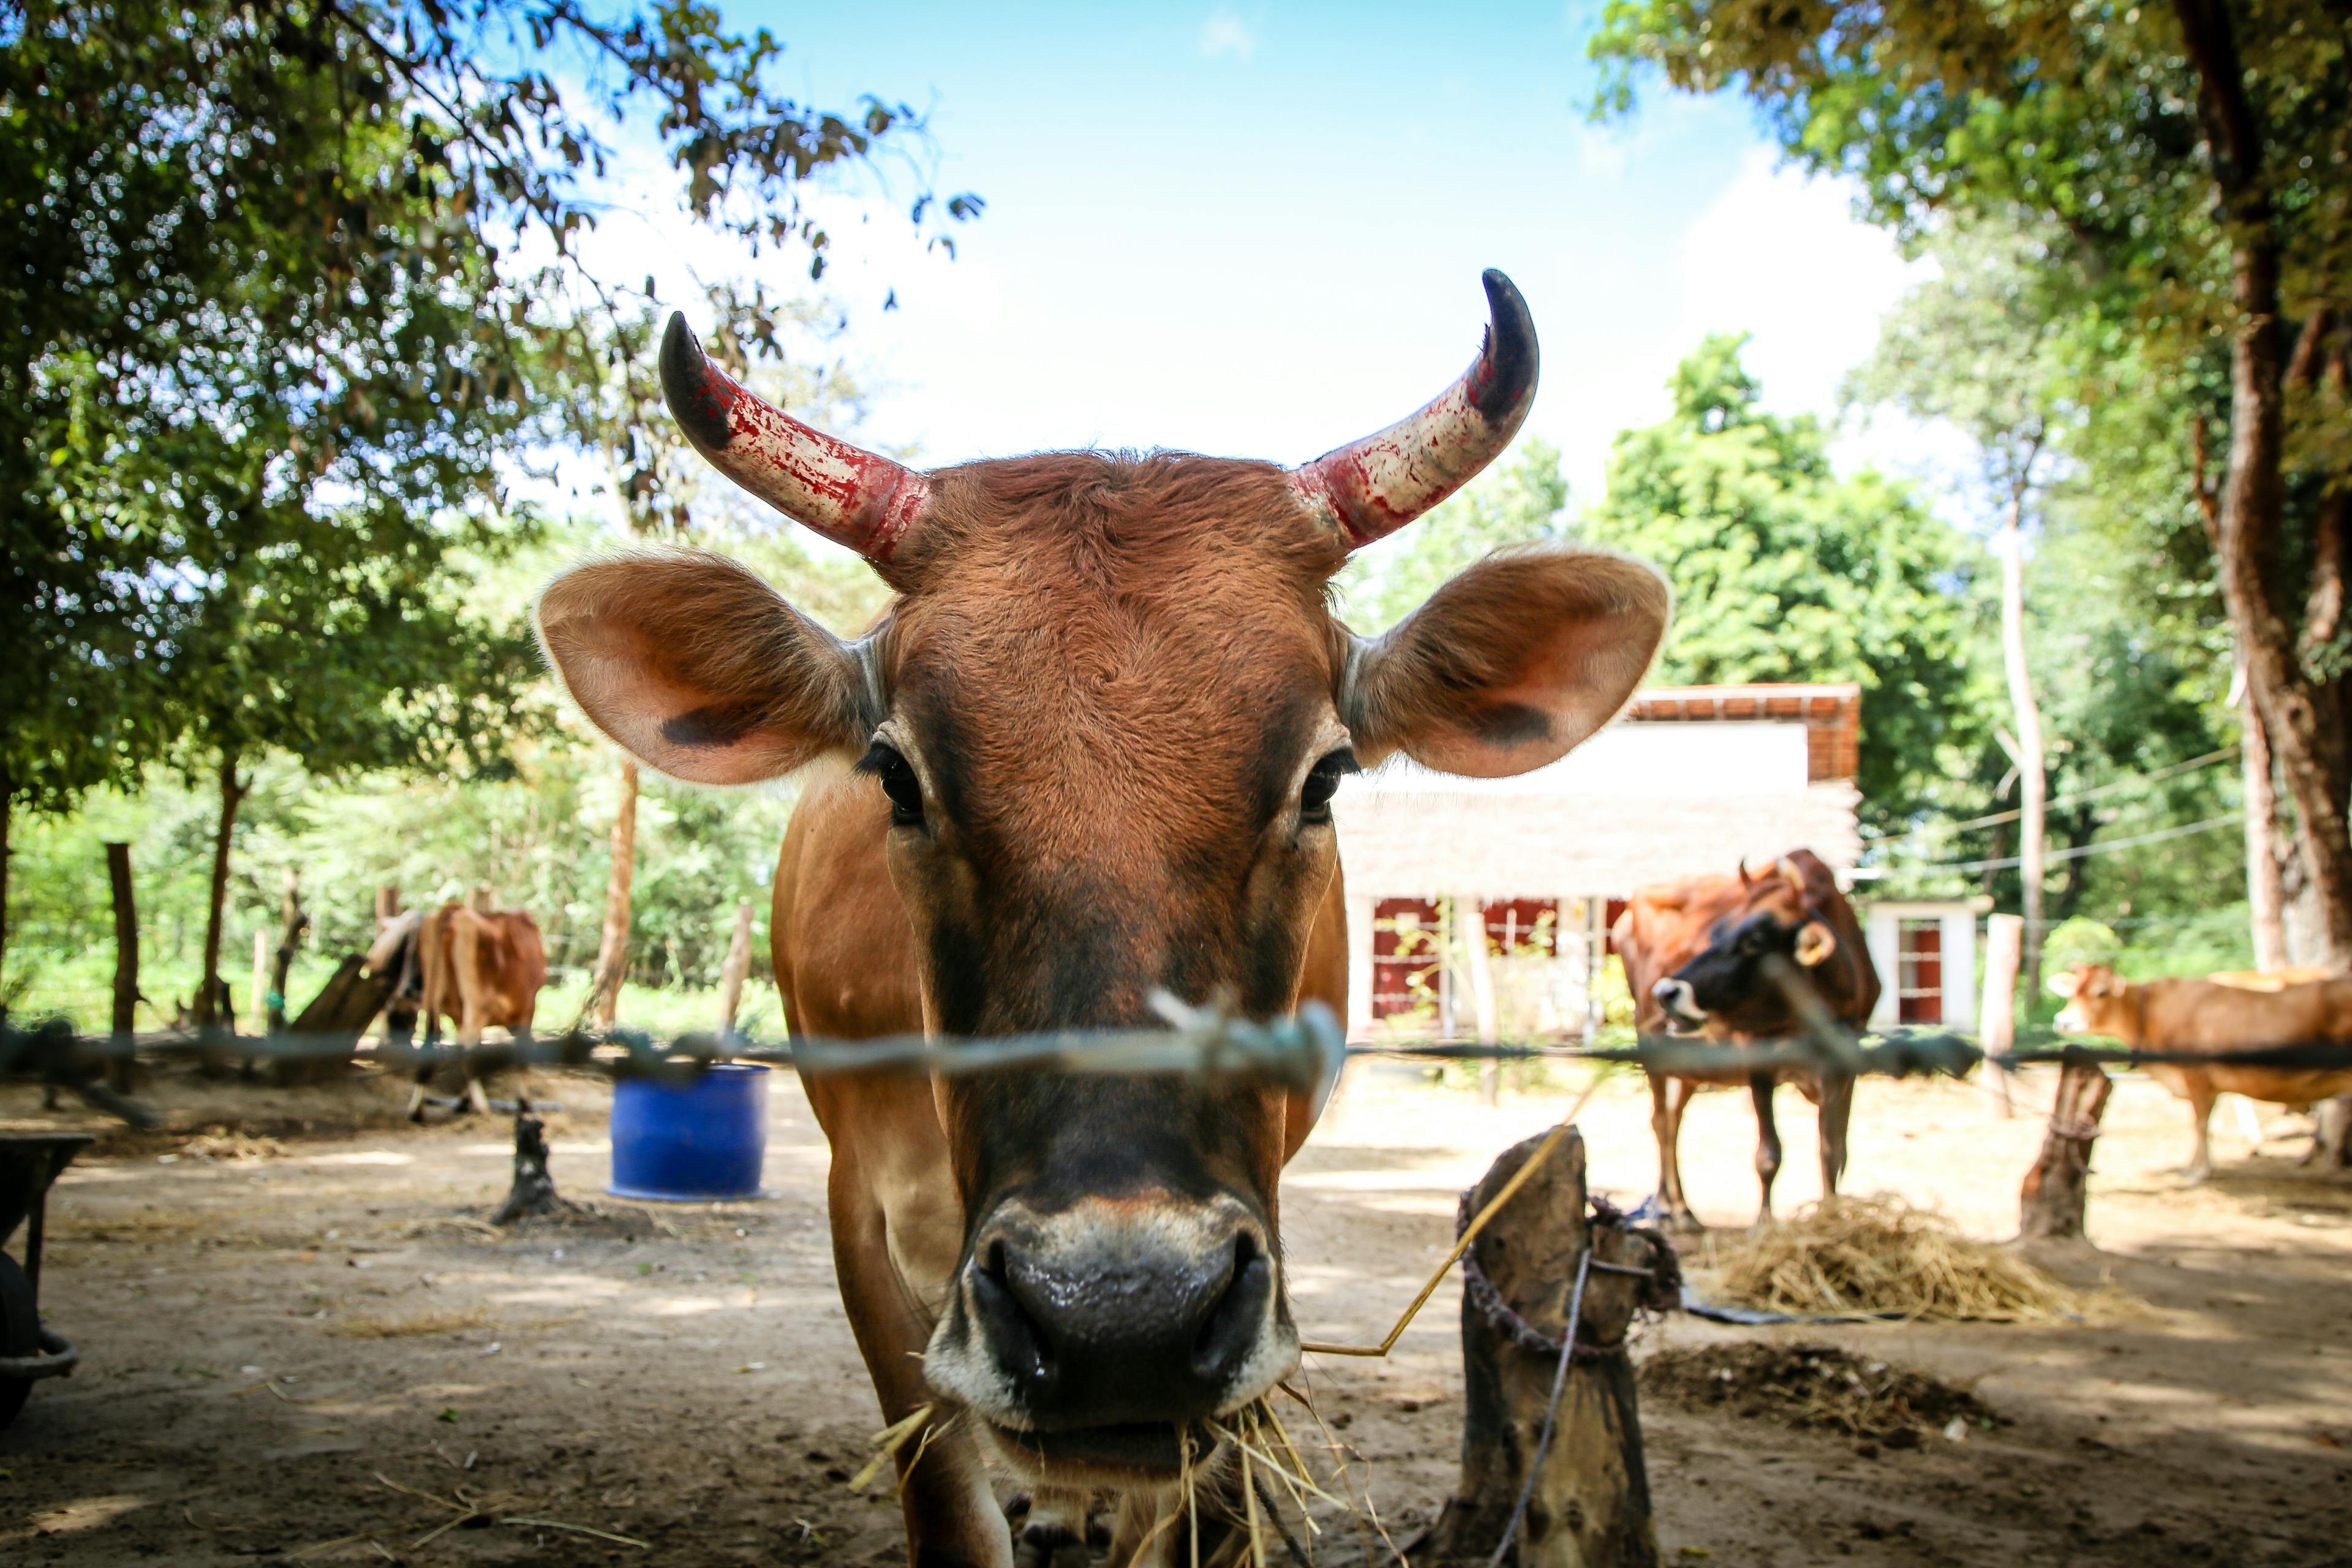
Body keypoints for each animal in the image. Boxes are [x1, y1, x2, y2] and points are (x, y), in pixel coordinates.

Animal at [1608, 851, 1882, 1232]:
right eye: (1716, 931)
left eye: (1754, 941)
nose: (1665, 992)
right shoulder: (1758, 1059)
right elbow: (1768, 1155)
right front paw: (1763, 1227)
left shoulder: (1843, 1067)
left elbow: (1834, 1151)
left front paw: (1831, 1220)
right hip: (1650, 1042)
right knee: (1661, 1120)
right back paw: (1664, 1206)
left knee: (1674, 1118)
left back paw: (1682, 1208)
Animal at [2051, 963, 2352, 1185]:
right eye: (2072, 992)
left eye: (2101, 993)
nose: (2063, 1021)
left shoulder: (2196, 1076)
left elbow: (2200, 1123)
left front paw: (2198, 1171)